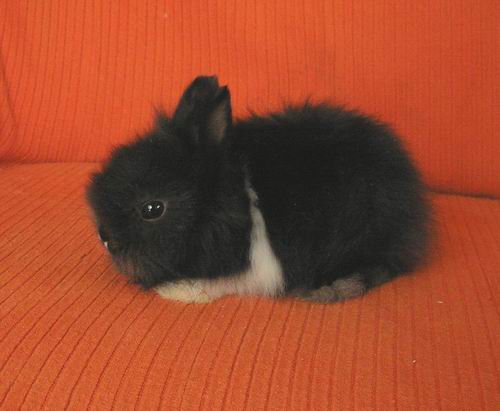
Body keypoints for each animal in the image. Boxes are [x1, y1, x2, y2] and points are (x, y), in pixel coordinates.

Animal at [86, 75, 431, 304]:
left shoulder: (261, 266)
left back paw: (330, 289)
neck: (232, 198)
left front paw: (179, 291)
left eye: (153, 209)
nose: (106, 238)